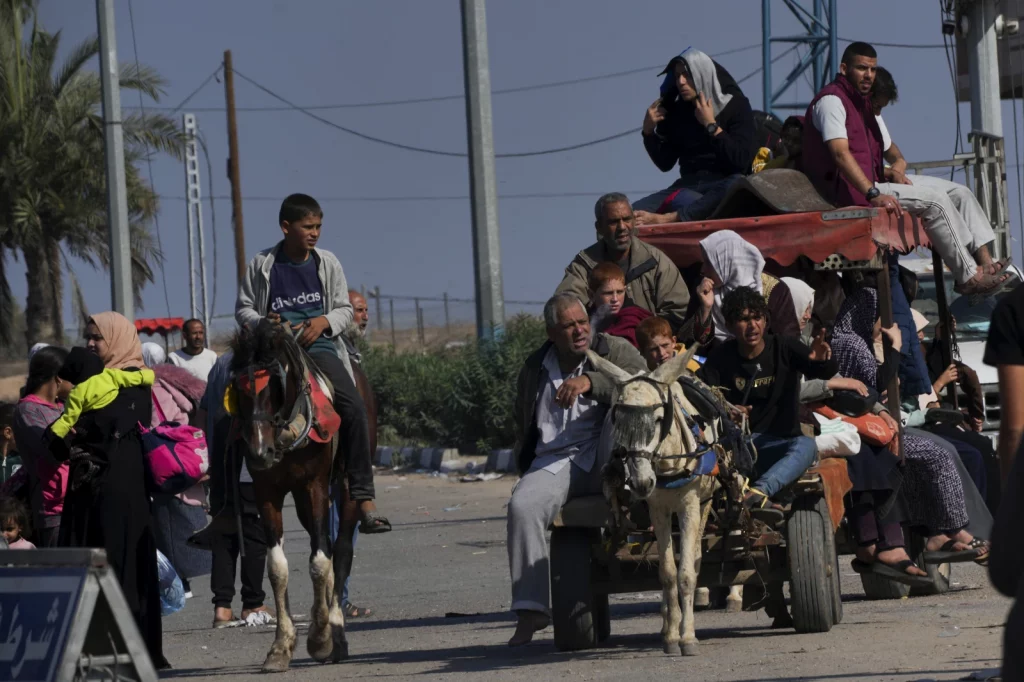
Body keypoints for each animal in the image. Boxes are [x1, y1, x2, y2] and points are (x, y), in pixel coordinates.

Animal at [228, 323, 368, 667]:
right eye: (237, 390)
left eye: (273, 386)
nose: (259, 452)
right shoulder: (267, 492)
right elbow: (277, 568)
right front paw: (281, 646)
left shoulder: (314, 485)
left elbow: (319, 562)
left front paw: (320, 639)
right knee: (328, 546)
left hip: (346, 487)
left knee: (340, 551)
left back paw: (336, 633)